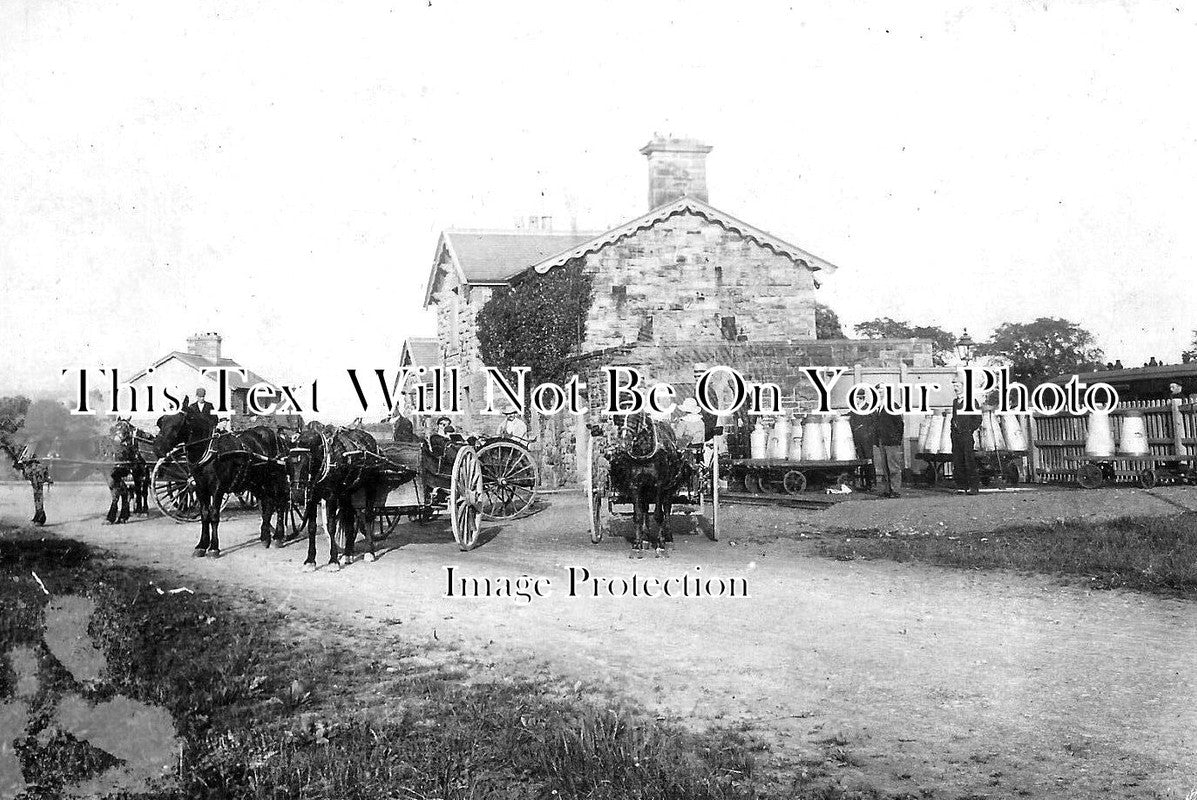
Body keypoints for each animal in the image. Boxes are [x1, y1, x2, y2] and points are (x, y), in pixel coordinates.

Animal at [154, 402, 289, 560]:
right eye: (161, 422)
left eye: (178, 424)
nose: (158, 448)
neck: (209, 450)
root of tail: (277, 436)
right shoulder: (200, 488)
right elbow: (204, 514)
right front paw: (201, 546)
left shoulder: (217, 488)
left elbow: (214, 515)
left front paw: (214, 548)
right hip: (257, 482)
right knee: (267, 504)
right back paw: (265, 536)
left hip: (277, 479)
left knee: (280, 503)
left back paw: (278, 537)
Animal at [286, 423, 387, 567]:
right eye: (288, 462)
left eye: (308, 463)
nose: (297, 495)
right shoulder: (313, 497)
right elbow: (312, 527)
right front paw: (310, 560)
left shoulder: (332, 497)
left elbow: (331, 527)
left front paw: (333, 561)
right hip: (347, 492)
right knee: (350, 520)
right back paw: (348, 554)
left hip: (370, 485)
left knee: (368, 516)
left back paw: (369, 552)